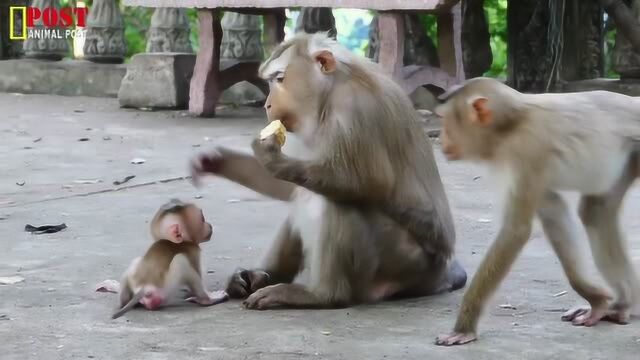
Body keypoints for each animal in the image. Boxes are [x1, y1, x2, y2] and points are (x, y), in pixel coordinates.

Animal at [189, 32, 464, 310]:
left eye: (279, 79)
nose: (267, 105)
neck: (331, 93)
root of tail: (439, 273)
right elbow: (289, 186)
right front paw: (216, 161)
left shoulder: (353, 106)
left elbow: (373, 183)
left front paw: (272, 158)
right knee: (305, 193)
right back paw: (258, 277)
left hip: (402, 260)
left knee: (334, 200)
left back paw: (321, 295)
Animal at [432, 77, 640, 344]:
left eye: (446, 120)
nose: (442, 137)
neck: (511, 126)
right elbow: (554, 212)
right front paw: (597, 300)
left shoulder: (529, 151)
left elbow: (516, 231)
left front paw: (464, 328)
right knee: (596, 212)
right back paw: (621, 305)